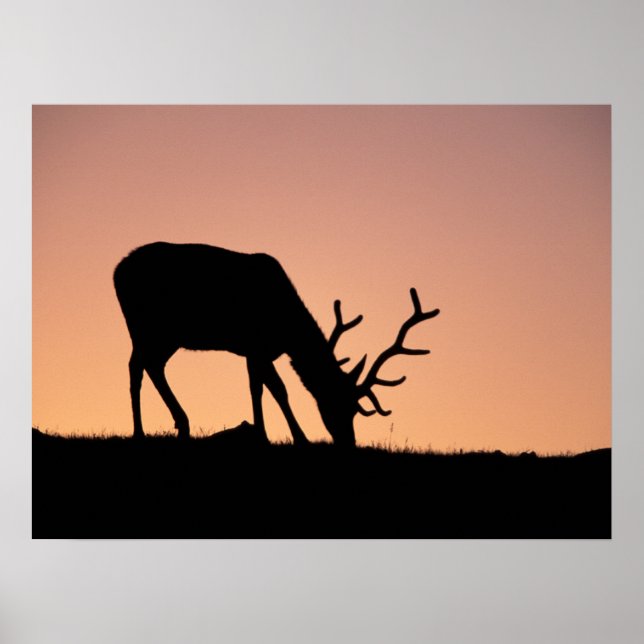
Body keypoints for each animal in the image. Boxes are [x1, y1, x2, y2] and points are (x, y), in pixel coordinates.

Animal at [113, 242, 440, 447]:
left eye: (357, 410)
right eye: (340, 404)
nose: (348, 442)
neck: (286, 327)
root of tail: (117, 270)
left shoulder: (257, 351)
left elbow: (265, 387)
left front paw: (277, 434)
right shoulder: (256, 345)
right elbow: (272, 389)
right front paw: (284, 436)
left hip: (164, 335)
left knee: (148, 365)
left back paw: (174, 424)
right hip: (147, 326)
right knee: (138, 366)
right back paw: (145, 430)